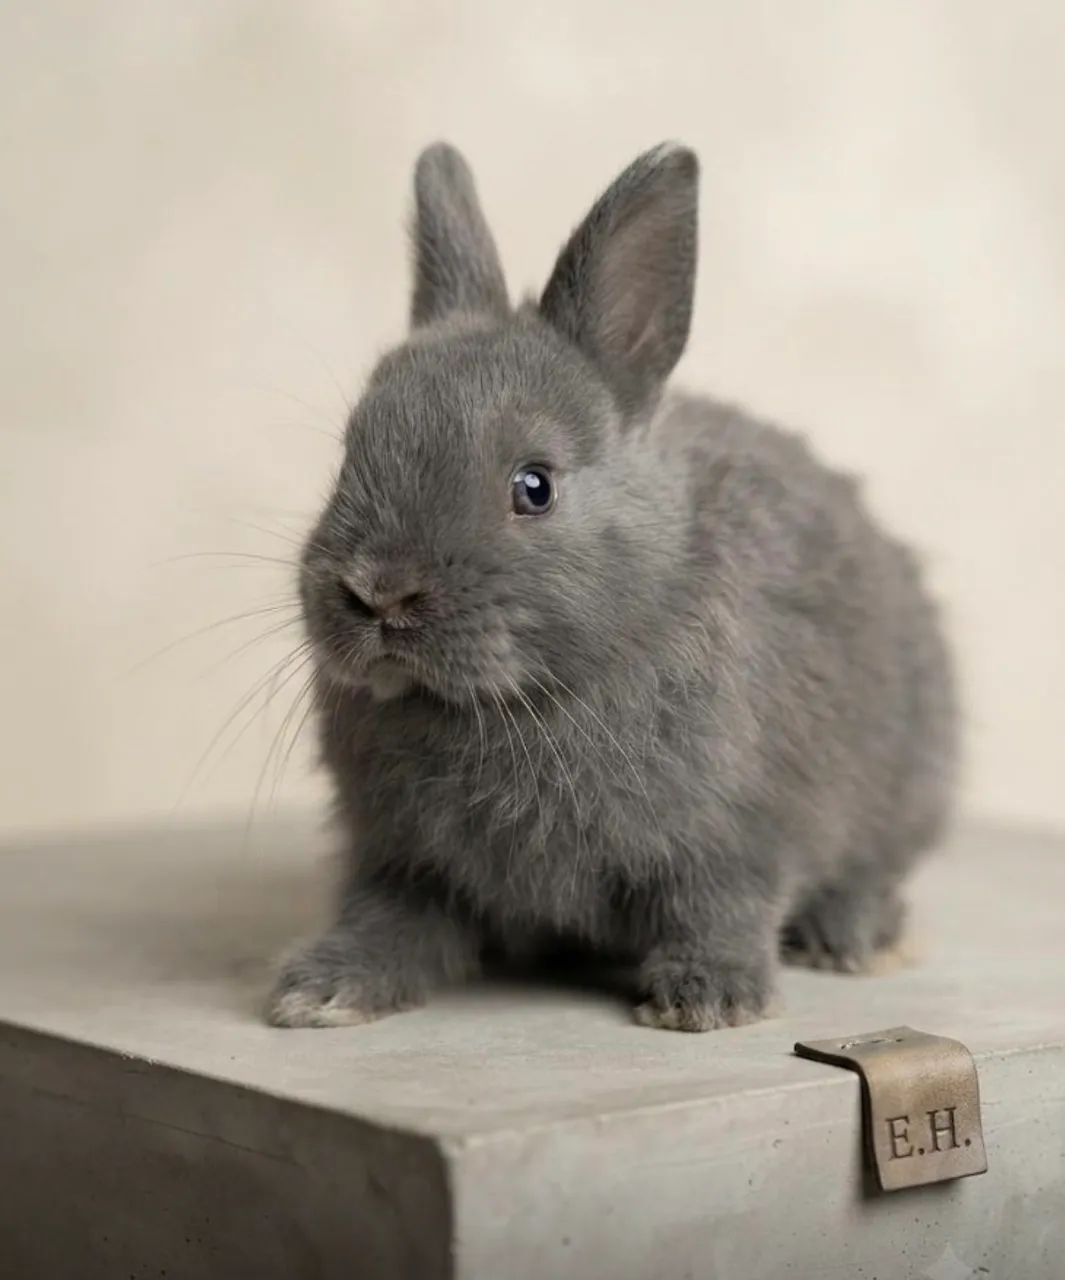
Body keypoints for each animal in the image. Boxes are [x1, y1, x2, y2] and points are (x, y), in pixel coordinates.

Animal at [267, 141, 957, 1033]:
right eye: (351, 449)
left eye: (534, 486)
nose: (378, 592)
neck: (510, 702)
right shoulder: (400, 859)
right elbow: (387, 921)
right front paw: (319, 990)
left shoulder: (736, 834)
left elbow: (720, 906)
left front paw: (708, 999)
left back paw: (852, 937)